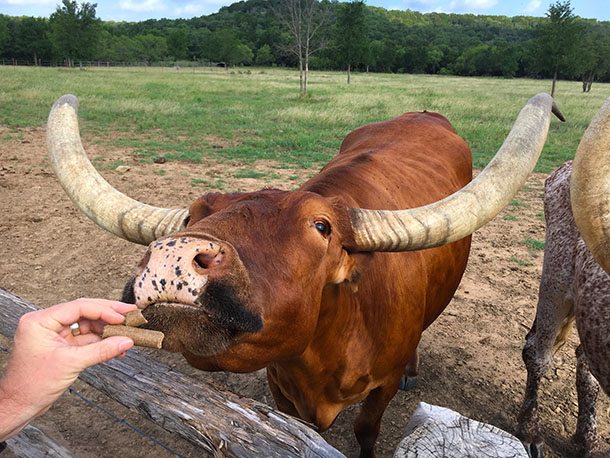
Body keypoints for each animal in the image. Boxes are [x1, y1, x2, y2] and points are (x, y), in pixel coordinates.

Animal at [47, 92, 560, 454]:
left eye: (322, 226)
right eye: (194, 213)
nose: (174, 253)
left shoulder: (382, 386)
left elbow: (366, 429)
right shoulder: (280, 386)